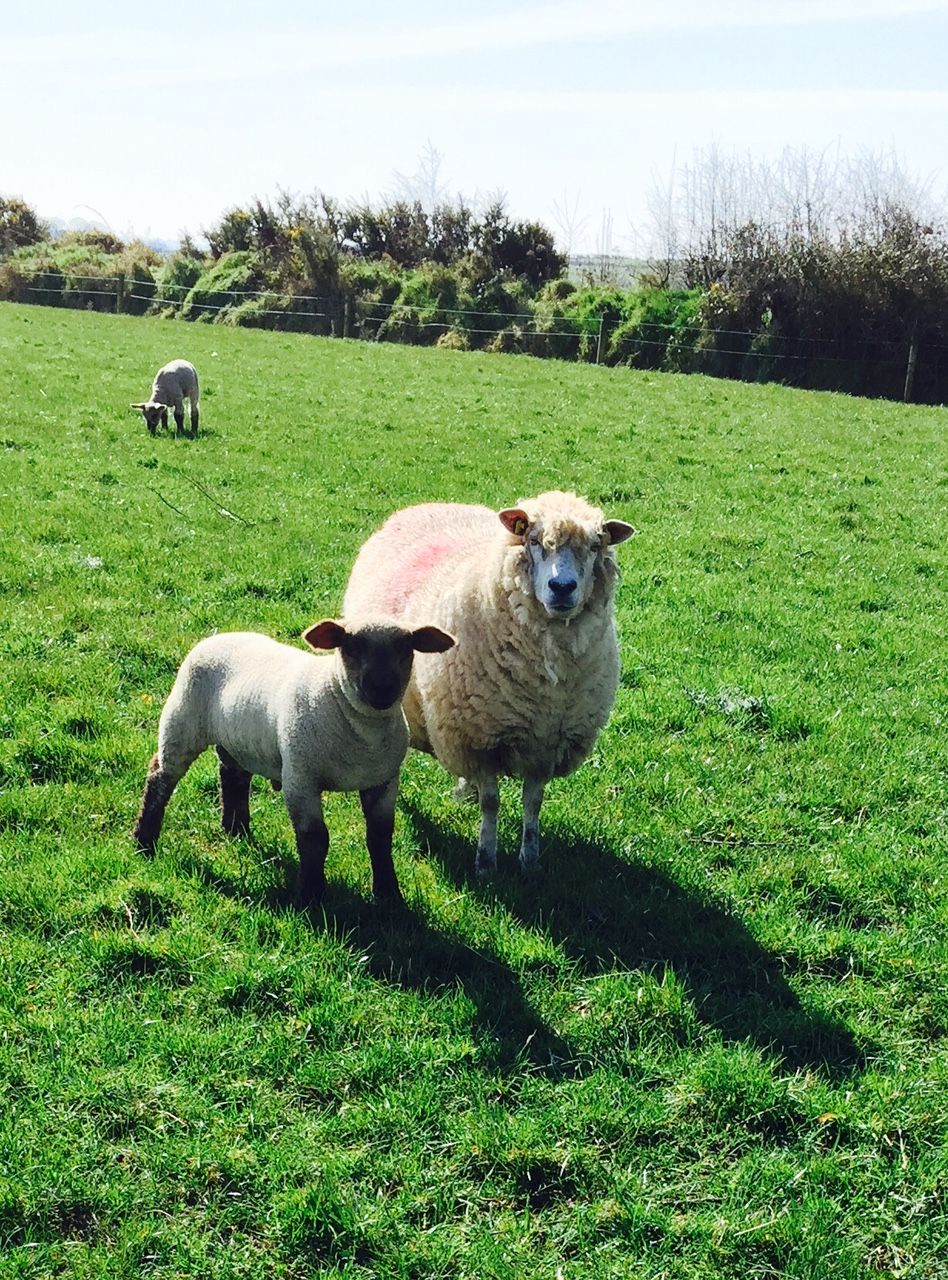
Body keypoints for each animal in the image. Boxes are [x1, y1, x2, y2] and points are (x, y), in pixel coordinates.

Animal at [132, 617, 455, 905]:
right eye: (351, 646)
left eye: (406, 647)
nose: (382, 687)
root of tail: (220, 635)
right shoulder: (301, 779)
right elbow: (314, 838)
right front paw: (310, 896)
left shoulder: (384, 781)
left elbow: (380, 837)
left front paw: (389, 894)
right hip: (182, 722)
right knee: (160, 776)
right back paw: (144, 842)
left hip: (240, 739)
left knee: (233, 775)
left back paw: (236, 830)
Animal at [343, 491, 634, 877]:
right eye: (534, 540)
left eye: (595, 545)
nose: (562, 588)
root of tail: (435, 503)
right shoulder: (479, 740)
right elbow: (492, 803)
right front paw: (486, 861)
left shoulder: (545, 743)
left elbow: (533, 802)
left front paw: (530, 859)